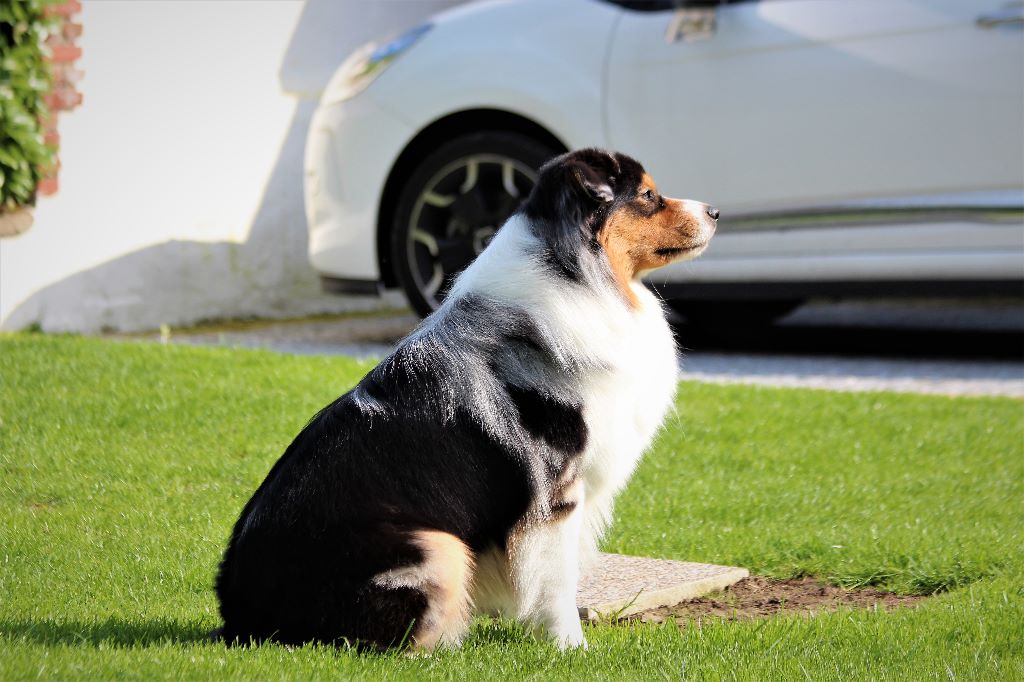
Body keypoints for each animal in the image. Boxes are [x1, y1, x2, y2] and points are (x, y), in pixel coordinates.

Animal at [211, 147, 716, 647]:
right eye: (648, 196)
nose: (714, 211)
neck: (577, 275)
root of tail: (238, 612)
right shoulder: (556, 491)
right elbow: (557, 582)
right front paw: (569, 647)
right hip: (438, 544)